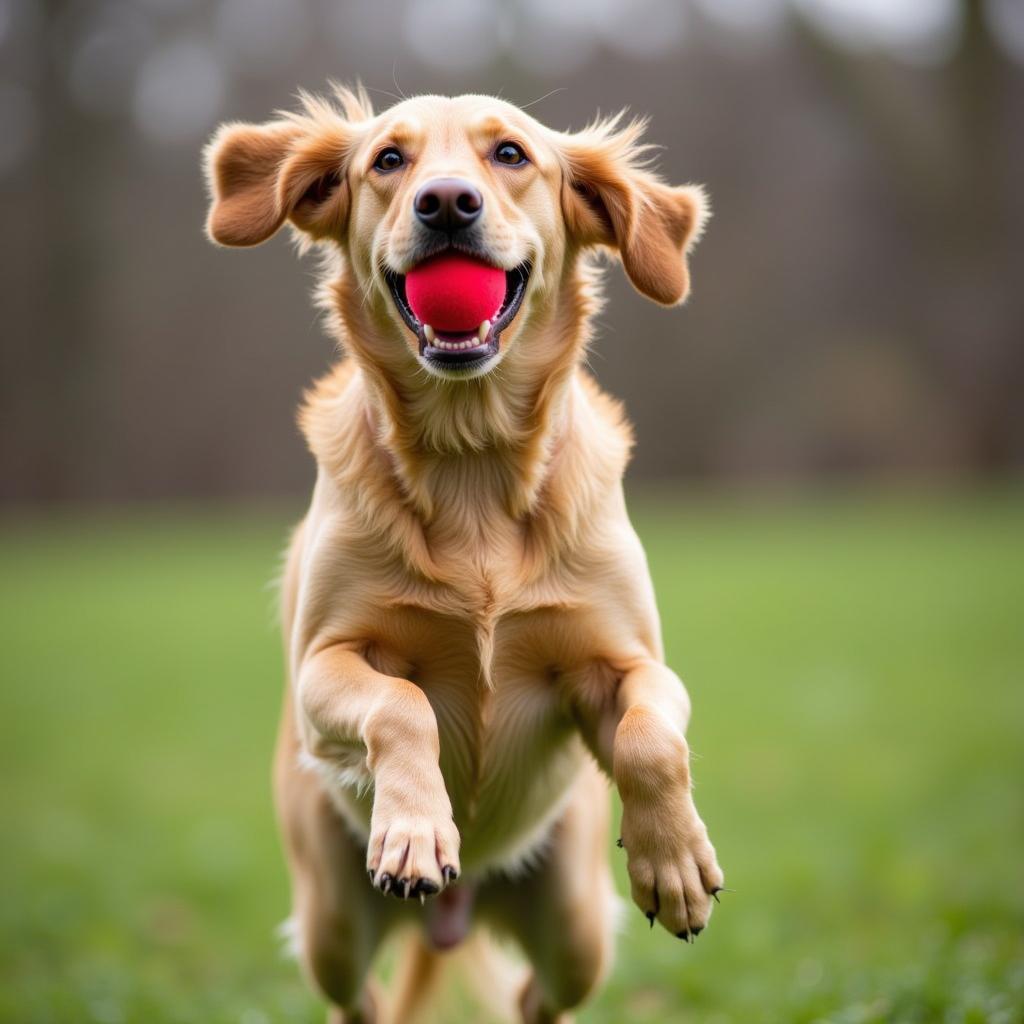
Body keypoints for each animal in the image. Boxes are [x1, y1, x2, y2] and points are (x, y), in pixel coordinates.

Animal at [203, 88, 724, 1024]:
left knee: (536, 997)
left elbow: (648, 737)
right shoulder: (323, 663)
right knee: (359, 1000)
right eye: (387, 160)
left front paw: (674, 860)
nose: (446, 203)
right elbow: (401, 703)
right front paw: (415, 831)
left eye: (511, 154)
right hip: (333, 919)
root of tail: (461, 904)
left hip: (574, 922)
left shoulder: (628, 663)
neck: (470, 460)